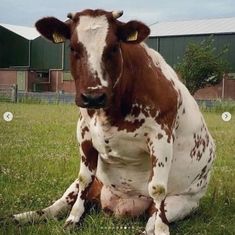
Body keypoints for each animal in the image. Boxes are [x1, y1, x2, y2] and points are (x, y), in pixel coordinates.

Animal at [11, 9, 216, 235]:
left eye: (114, 47)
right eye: (73, 47)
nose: (93, 97)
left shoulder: (161, 136)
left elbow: (158, 188)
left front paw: (163, 230)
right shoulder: (84, 132)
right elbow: (84, 178)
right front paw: (73, 219)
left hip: (182, 203)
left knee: (151, 221)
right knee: (58, 204)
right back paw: (22, 217)